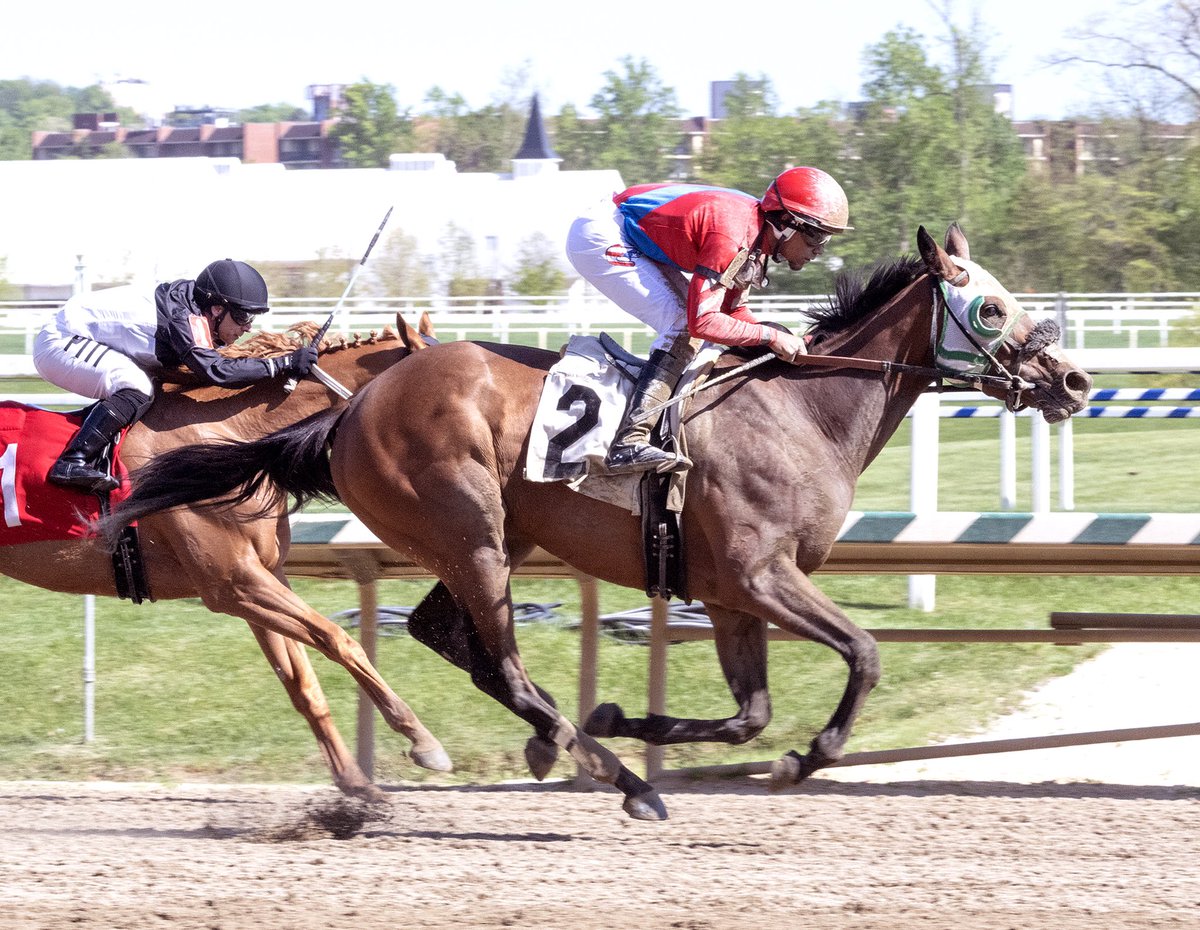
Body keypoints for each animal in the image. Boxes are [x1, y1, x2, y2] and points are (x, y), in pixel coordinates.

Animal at [3, 316, 451, 796]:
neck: (230, 436)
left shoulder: (264, 576)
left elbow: (302, 683)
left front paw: (353, 783)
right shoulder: (232, 584)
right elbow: (338, 638)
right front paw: (422, 741)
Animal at [105, 226, 1099, 820]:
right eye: (991, 306)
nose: (1075, 380)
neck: (801, 412)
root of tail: (348, 410)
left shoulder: (730, 595)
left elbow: (749, 713)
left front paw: (631, 718)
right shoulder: (762, 576)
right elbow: (863, 655)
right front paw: (801, 761)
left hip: (477, 541)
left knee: (446, 637)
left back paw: (577, 749)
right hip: (474, 536)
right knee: (498, 662)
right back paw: (593, 770)